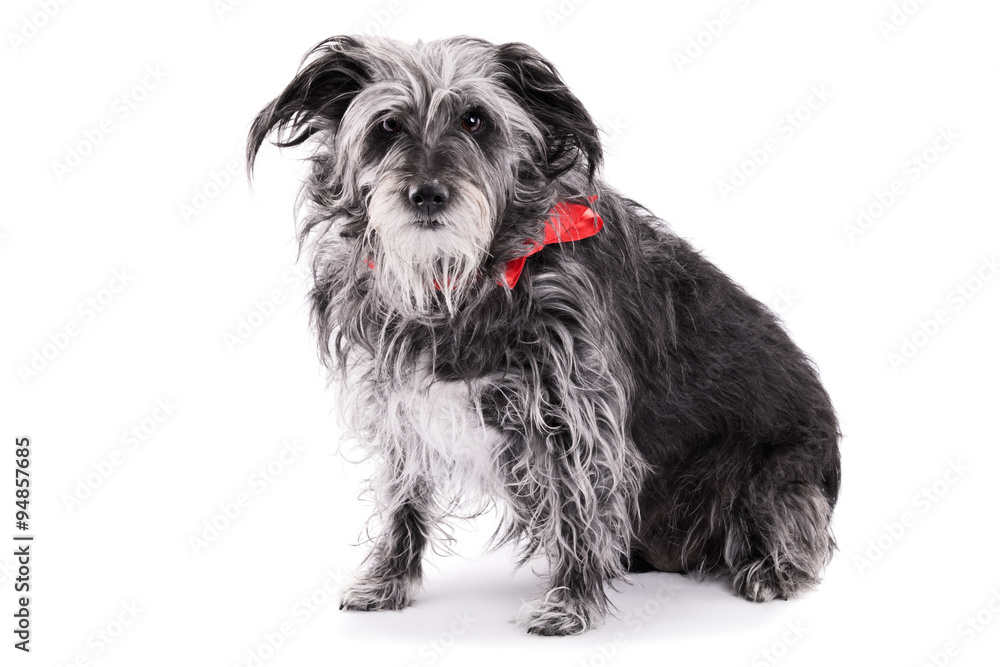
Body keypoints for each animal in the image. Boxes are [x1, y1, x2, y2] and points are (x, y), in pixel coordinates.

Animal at [246, 35, 840, 636]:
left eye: (476, 119)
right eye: (387, 126)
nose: (427, 194)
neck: (461, 280)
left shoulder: (575, 413)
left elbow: (579, 505)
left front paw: (569, 603)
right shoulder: (400, 402)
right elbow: (402, 499)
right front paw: (387, 581)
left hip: (770, 479)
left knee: (796, 532)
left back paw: (769, 569)